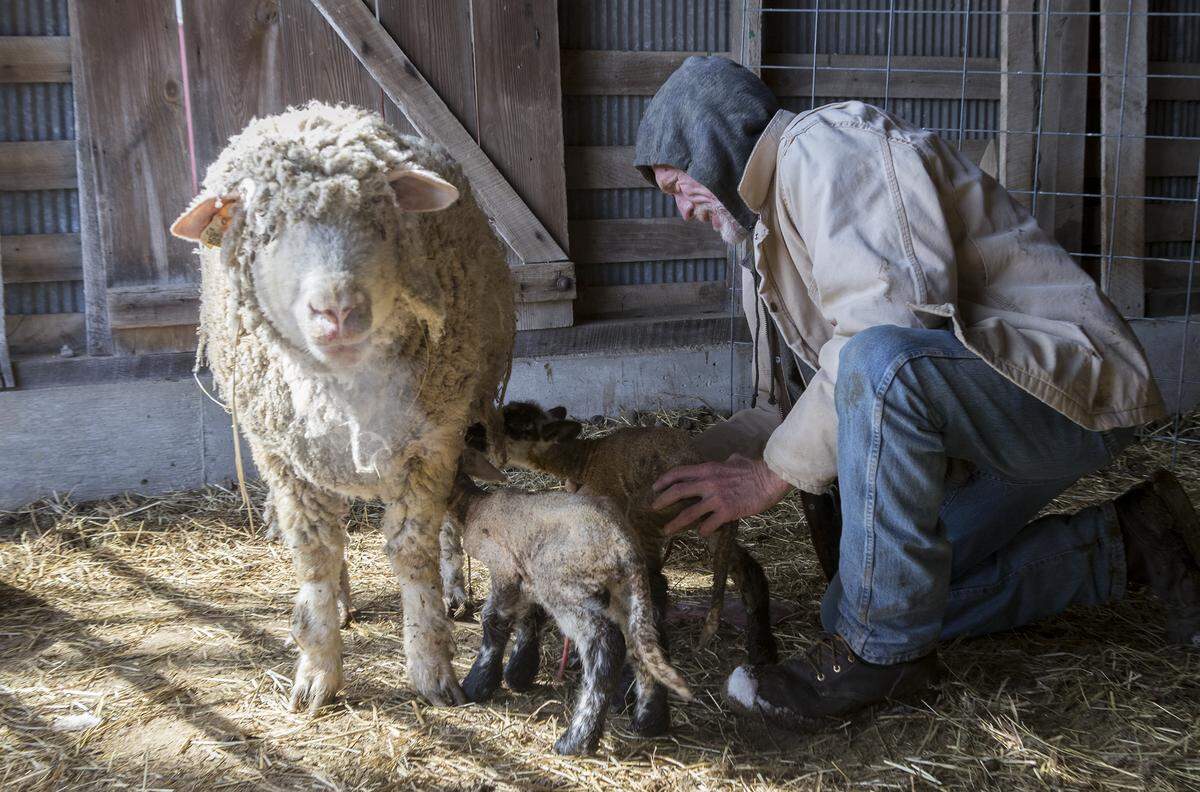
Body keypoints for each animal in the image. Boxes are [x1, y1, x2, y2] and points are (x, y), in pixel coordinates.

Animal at [169, 102, 515, 712]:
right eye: (266, 230)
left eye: (378, 217)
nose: (337, 310)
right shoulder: (284, 460)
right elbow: (316, 556)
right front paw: (317, 671)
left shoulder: (430, 442)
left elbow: (415, 553)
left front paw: (431, 667)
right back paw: (344, 602)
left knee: (453, 513)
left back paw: (454, 588)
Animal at [450, 451, 693, 755]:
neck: (472, 505)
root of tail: (623, 545)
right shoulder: (528, 576)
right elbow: (530, 617)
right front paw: (519, 672)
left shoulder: (504, 567)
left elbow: (495, 620)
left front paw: (478, 684)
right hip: (625, 595)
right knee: (645, 643)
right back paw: (649, 720)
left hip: (568, 588)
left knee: (605, 646)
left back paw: (577, 739)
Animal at [489, 402, 778, 668]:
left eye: (517, 428)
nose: (480, 436)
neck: (585, 460)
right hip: (710, 521)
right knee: (749, 570)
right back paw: (762, 650)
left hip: (652, 510)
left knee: (655, 581)